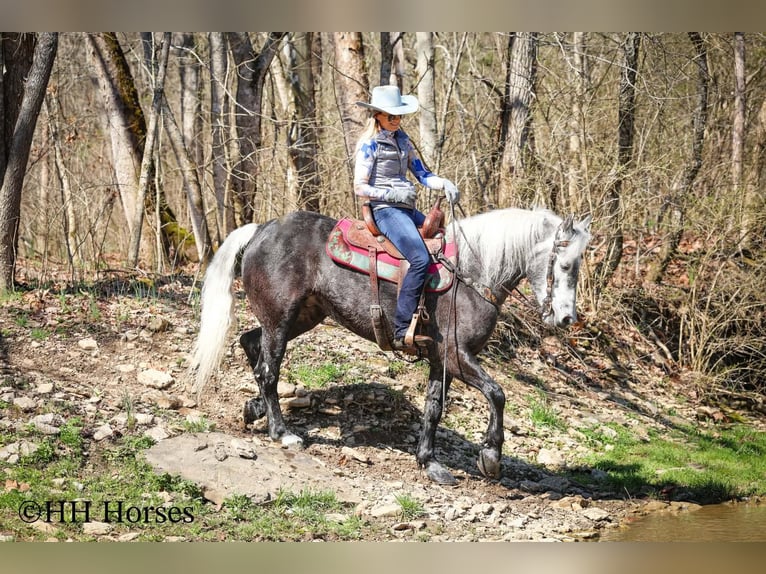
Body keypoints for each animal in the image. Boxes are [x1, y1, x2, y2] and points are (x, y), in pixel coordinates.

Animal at [190, 206, 591, 485]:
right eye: (565, 265)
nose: (566, 319)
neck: (472, 274)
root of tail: (262, 228)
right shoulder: (457, 356)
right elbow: (497, 393)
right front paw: (490, 456)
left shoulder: (440, 361)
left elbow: (434, 409)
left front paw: (430, 463)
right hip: (281, 319)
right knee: (268, 371)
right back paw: (282, 432)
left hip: (301, 317)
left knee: (251, 345)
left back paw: (255, 409)